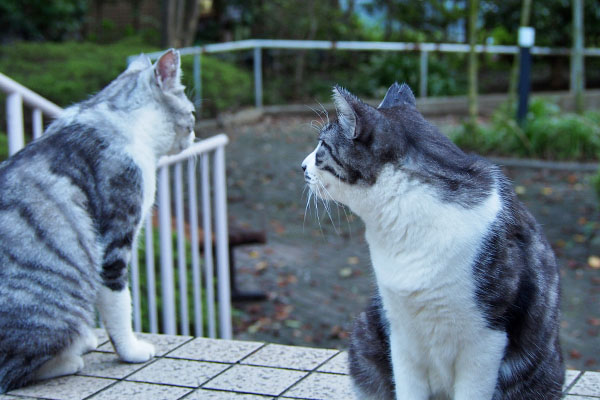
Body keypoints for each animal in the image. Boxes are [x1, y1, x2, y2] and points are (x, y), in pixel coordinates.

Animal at [0, 48, 193, 392]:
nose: (195, 134)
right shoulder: (115, 241)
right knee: (13, 370)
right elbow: (119, 306)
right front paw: (131, 351)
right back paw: (69, 358)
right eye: (193, 113)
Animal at [302, 83, 564, 398]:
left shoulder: (487, 340)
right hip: (367, 332)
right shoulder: (399, 333)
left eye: (321, 147)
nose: (301, 166)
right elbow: (407, 387)